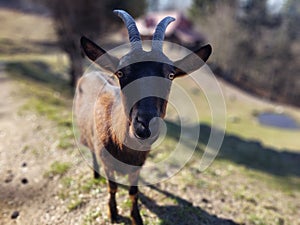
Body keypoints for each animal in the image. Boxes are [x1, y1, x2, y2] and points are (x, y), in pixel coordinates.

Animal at [75, 9, 211, 224]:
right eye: (121, 73)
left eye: (170, 75)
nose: (145, 125)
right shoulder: (107, 161)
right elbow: (113, 187)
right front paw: (113, 212)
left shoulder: (138, 166)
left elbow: (133, 192)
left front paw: (136, 217)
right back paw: (95, 175)